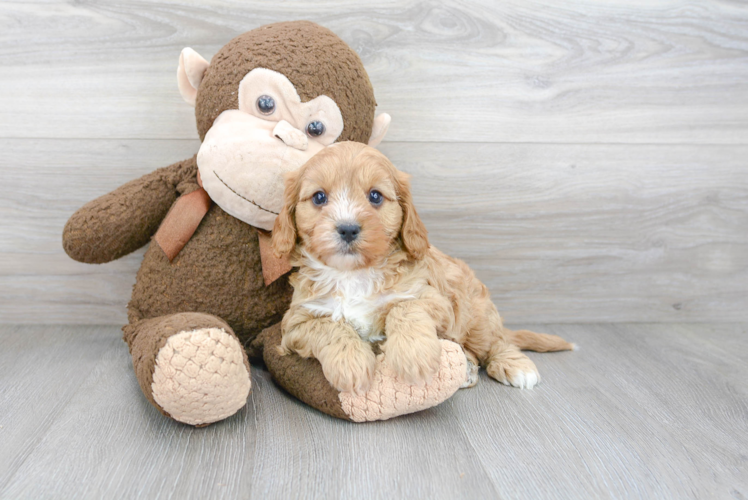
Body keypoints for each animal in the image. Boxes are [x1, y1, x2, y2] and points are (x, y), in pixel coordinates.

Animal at [272, 141, 576, 394]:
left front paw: (413, 355)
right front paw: (351, 363)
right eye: (319, 197)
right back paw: (467, 369)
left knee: (497, 342)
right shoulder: (296, 322)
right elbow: (330, 327)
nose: (347, 229)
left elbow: (405, 308)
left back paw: (516, 366)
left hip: (477, 316)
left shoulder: (433, 298)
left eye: (375, 196)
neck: (353, 274)